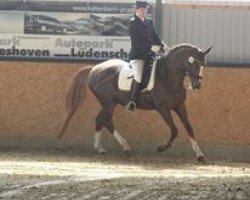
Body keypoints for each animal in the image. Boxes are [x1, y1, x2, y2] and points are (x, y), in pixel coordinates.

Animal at [57, 43, 212, 162]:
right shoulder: (163, 108)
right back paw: (115, 147)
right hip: (108, 102)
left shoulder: (180, 106)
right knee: (103, 119)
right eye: (193, 63)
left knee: (102, 120)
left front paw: (200, 155)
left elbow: (189, 128)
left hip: (111, 103)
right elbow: (174, 130)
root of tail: (94, 68)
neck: (168, 77)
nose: (197, 85)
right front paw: (161, 148)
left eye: (204, 65)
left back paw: (108, 148)